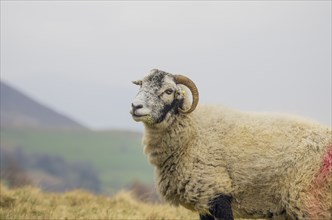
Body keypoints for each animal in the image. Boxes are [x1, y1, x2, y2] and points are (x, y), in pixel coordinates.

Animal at [130, 69, 332, 220]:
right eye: (141, 85)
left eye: (169, 91)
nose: (135, 106)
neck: (192, 133)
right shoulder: (205, 200)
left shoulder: (215, 193)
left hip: (310, 201)